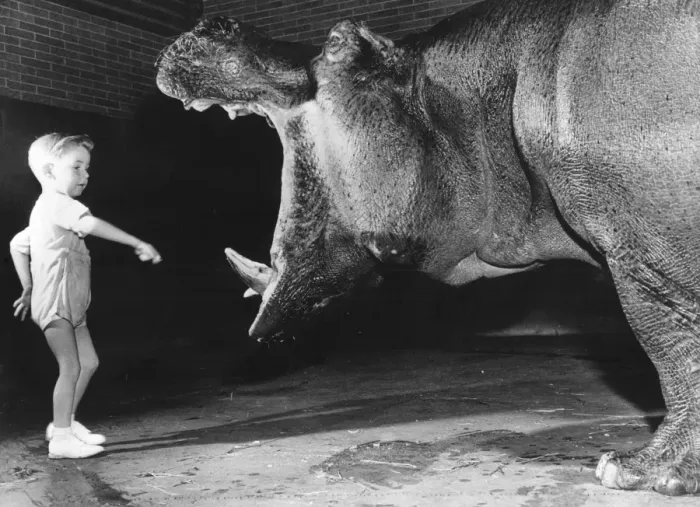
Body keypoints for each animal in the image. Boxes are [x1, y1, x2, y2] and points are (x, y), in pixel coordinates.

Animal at [156, 0, 700, 495]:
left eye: (338, 41)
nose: (215, 22)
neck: (474, 101)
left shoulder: (644, 255)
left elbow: (673, 349)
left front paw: (632, 473)